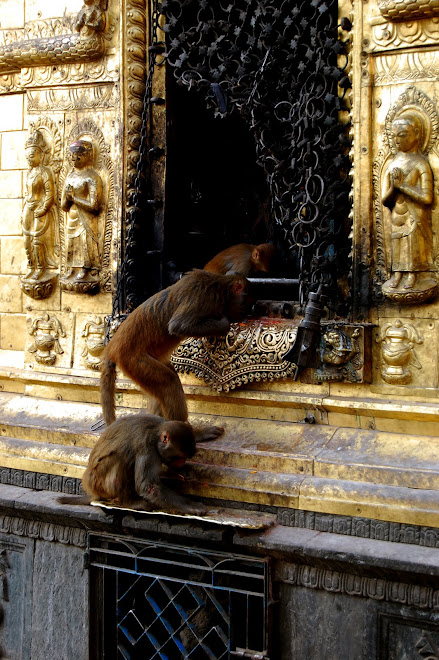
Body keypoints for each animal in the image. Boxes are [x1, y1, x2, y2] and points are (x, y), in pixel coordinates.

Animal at [59, 412, 223, 516]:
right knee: (120, 458)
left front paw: (201, 433)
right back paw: (130, 502)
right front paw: (192, 506)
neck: (157, 433)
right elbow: (148, 486)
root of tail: (91, 491)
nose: (182, 463)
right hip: (98, 482)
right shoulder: (147, 447)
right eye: (179, 457)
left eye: (184, 458)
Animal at [101, 270, 249, 428]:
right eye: (246, 301)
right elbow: (179, 325)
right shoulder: (204, 295)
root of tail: (112, 347)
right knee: (169, 382)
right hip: (132, 360)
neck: (220, 288)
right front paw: (224, 324)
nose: (247, 312)